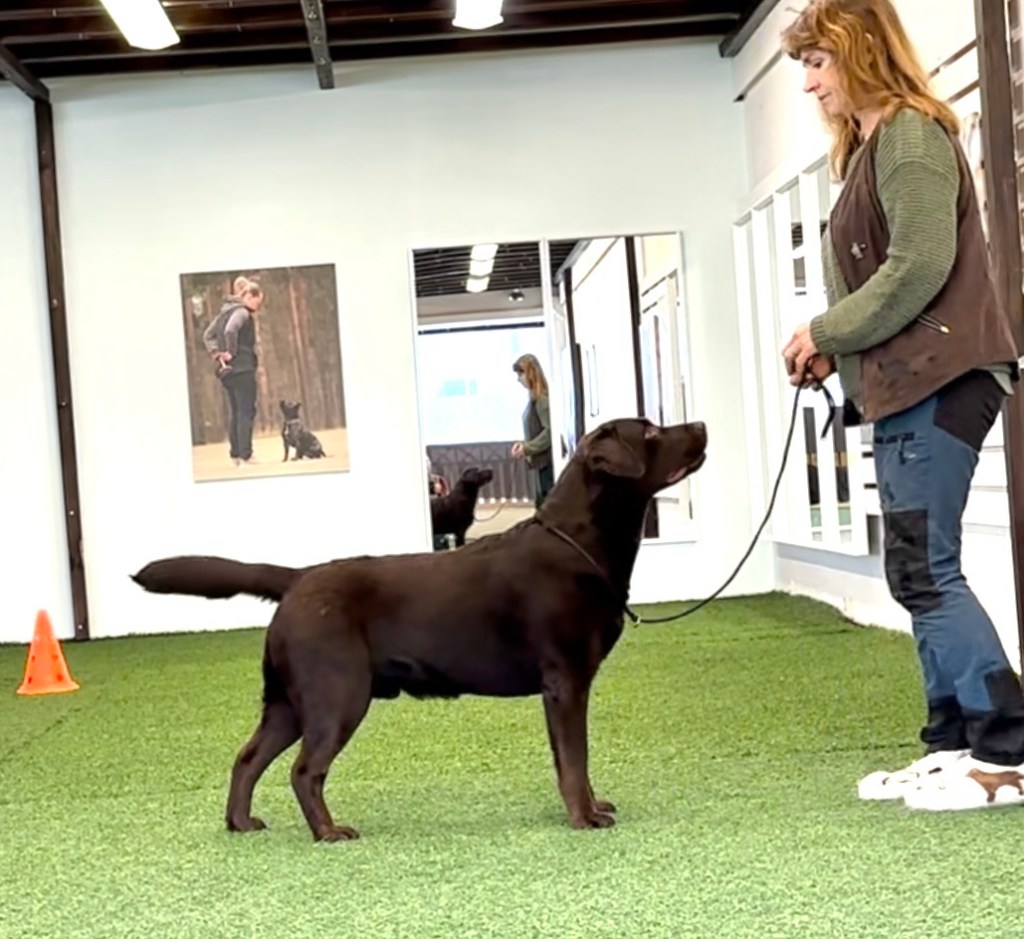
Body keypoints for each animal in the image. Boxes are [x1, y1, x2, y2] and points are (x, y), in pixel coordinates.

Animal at [131, 416, 708, 842]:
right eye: (650, 433)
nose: (700, 424)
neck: (578, 542)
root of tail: (298, 578)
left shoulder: (561, 688)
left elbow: (569, 761)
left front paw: (589, 804)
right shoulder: (566, 682)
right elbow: (574, 757)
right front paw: (584, 818)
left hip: (288, 701)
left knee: (247, 758)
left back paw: (242, 822)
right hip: (337, 693)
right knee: (304, 769)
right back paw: (329, 832)